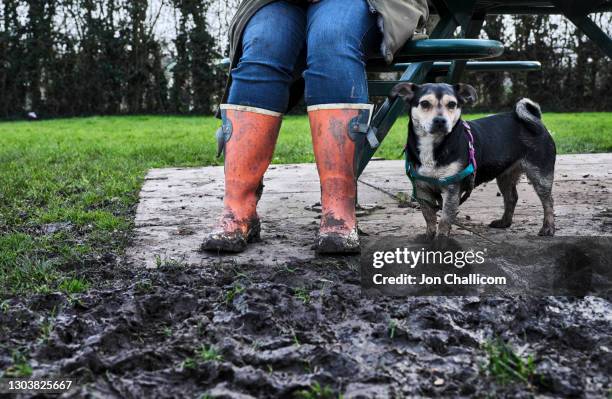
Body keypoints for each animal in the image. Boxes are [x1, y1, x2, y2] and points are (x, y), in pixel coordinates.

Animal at [390, 81, 556, 238]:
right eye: (424, 103)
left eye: (452, 104)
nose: (440, 121)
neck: (433, 146)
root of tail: (536, 119)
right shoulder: (422, 189)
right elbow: (429, 218)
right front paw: (429, 237)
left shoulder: (452, 190)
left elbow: (444, 221)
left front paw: (441, 240)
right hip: (505, 175)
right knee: (511, 197)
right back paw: (504, 222)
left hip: (540, 174)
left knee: (548, 201)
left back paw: (548, 227)